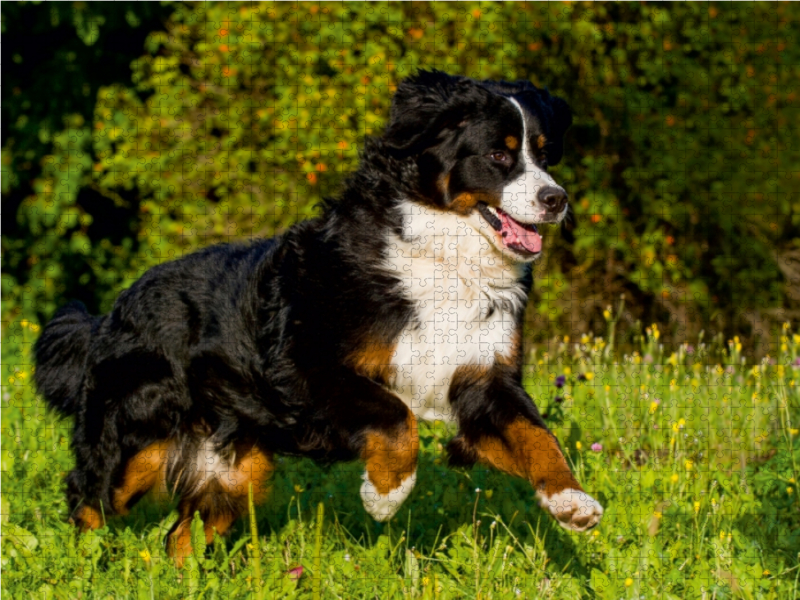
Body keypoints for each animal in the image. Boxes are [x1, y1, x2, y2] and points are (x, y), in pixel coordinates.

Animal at [34, 70, 604, 568]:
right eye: (498, 154)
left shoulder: (481, 381)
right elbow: (397, 419)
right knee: (88, 497)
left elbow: (538, 436)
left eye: (545, 155)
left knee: (180, 536)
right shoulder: (306, 367)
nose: (556, 199)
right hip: (136, 442)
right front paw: (385, 495)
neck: (444, 258)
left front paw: (571, 500)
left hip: (235, 473)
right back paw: (80, 564)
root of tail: (110, 313)